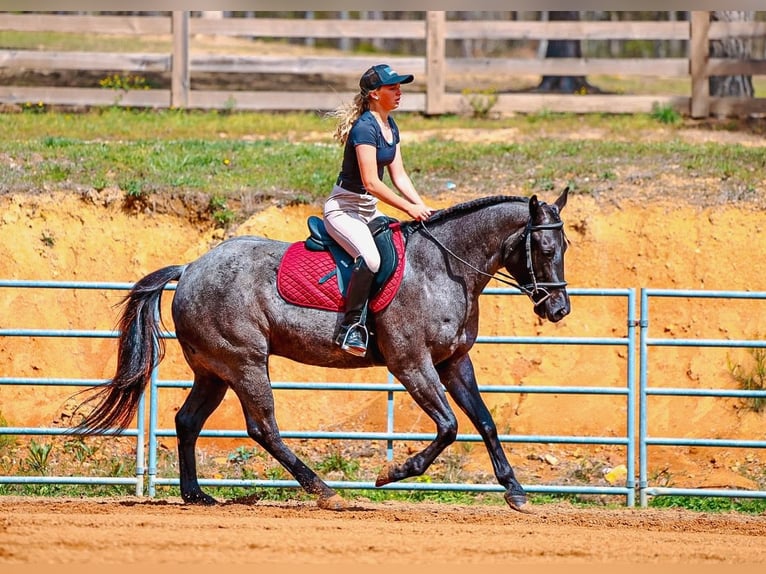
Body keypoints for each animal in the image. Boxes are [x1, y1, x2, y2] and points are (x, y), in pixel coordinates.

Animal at [72, 188, 570, 513]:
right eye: (545, 247)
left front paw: (515, 491)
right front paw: (393, 473)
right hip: (245, 362)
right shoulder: (412, 364)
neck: (443, 268)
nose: (559, 308)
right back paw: (325, 491)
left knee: (188, 421)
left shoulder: (453, 362)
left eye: (564, 245)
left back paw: (196, 495)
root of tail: (191, 267)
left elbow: (484, 422)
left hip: (214, 370)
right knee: (263, 428)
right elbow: (449, 426)